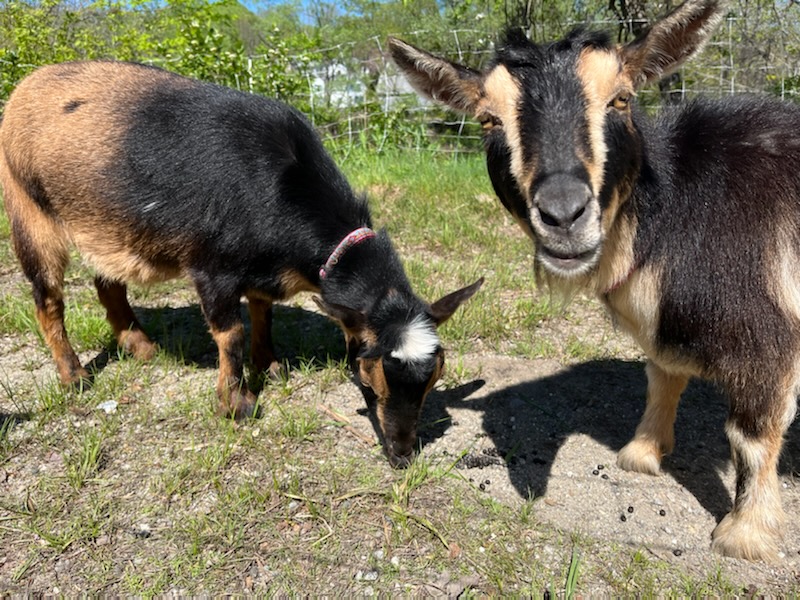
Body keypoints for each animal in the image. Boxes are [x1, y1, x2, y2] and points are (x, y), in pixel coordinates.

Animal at [0, 60, 483, 468]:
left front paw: (269, 365)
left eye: (435, 378)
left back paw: (141, 347)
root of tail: (28, 84)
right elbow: (230, 332)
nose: (402, 455)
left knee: (108, 284)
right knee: (48, 300)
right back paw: (74, 375)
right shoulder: (212, 267)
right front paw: (237, 404)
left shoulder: (260, 270)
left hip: (109, 227)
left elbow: (263, 313)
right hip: (30, 209)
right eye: (369, 375)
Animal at [389, 0, 800, 560]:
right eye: (489, 119)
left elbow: (752, 434)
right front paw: (642, 454)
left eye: (621, 98)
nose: (564, 214)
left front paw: (744, 535)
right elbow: (662, 377)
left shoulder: (766, 333)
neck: (673, 209)